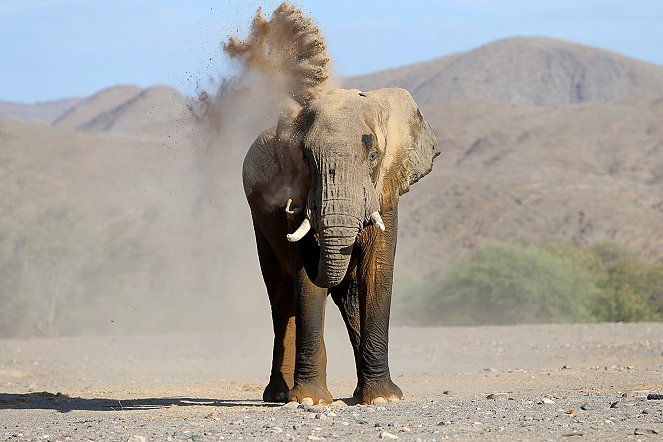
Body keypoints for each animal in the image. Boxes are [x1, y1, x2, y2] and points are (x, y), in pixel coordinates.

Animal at [244, 86, 440, 404]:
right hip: (260, 224)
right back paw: (279, 396)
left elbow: (375, 273)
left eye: (373, 155)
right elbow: (306, 281)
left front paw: (383, 399)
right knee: (282, 298)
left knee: (348, 300)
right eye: (306, 158)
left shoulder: (386, 190)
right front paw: (309, 400)